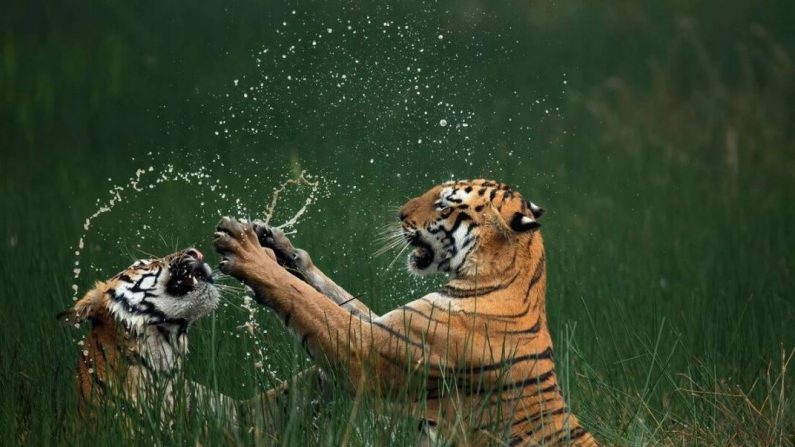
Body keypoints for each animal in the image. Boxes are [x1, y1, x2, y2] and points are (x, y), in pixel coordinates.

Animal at [211, 179, 596, 447]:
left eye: (443, 204)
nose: (400, 214)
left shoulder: (367, 350)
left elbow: (307, 300)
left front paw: (246, 250)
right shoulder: (388, 325)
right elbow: (334, 297)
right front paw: (278, 245)